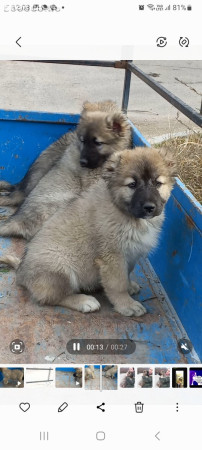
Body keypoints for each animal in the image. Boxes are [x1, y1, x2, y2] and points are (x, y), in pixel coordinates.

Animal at [0, 148, 176, 316]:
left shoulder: (131, 254)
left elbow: (127, 273)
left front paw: (129, 287)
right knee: (50, 297)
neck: (126, 213)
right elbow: (118, 284)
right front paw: (126, 305)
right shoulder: (113, 257)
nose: (149, 207)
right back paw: (83, 301)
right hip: (60, 267)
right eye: (132, 185)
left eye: (158, 183)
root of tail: (21, 272)